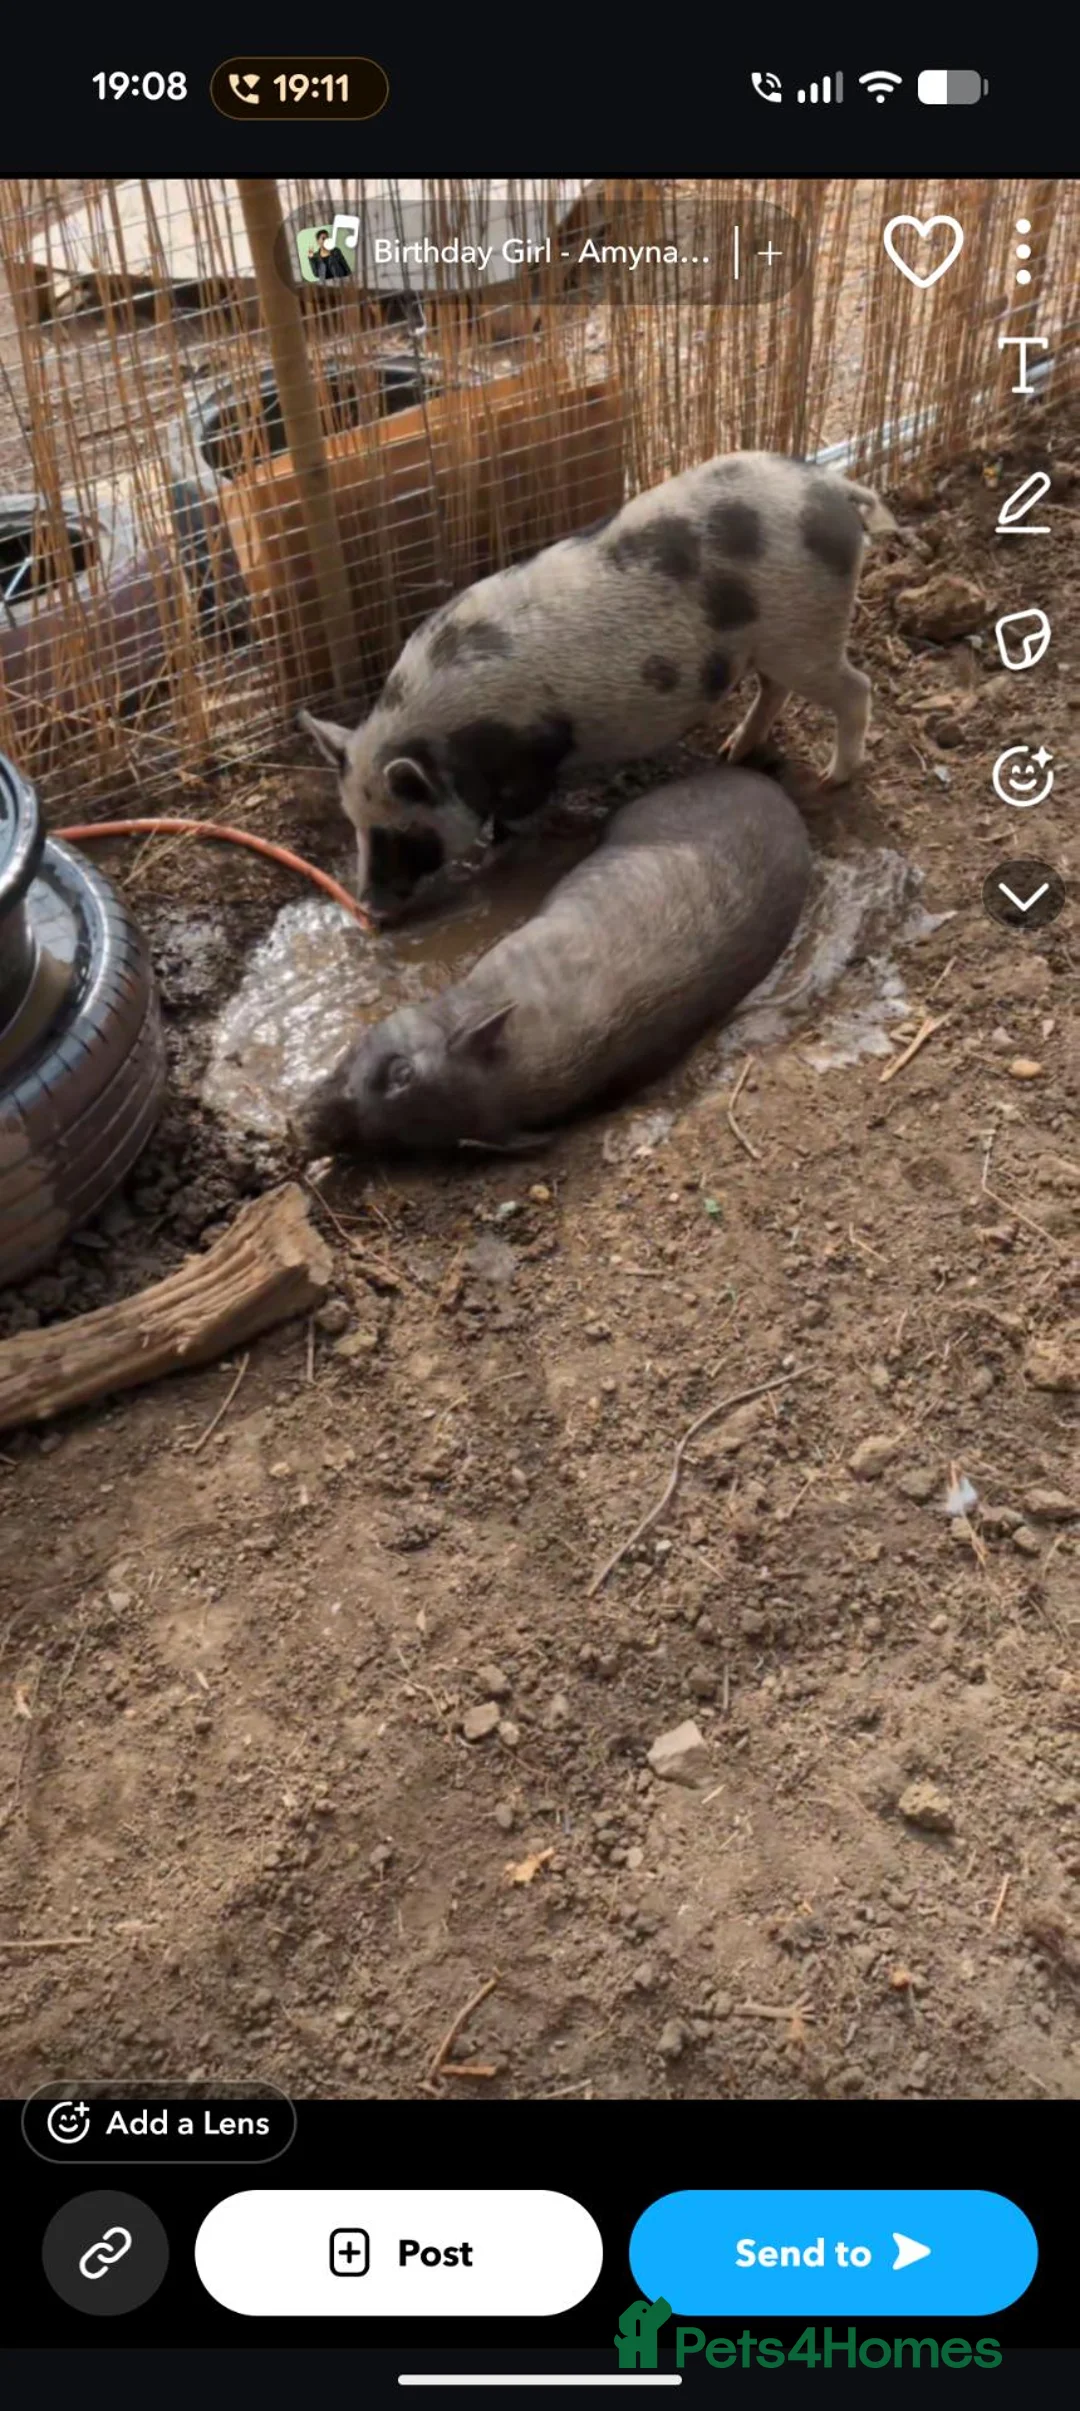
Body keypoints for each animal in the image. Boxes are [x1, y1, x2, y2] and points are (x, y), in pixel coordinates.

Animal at [300, 449, 895, 918]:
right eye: (354, 823)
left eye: (404, 833)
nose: (369, 906)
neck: (448, 737)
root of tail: (833, 488)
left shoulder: (532, 758)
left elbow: (515, 816)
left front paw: (495, 857)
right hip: (774, 643)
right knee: (774, 690)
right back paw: (733, 751)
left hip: (806, 634)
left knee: (856, 688)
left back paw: (832, 778)